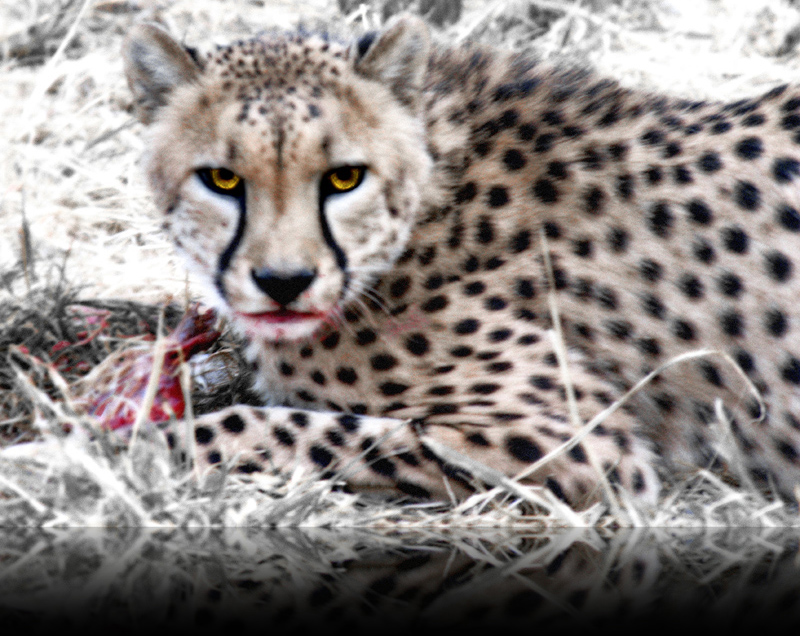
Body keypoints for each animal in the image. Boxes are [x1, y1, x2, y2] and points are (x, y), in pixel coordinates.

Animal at [121, 14, 800, 510]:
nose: (283, 282)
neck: (436, 190)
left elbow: (281, 426)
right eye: (222, 179)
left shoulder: (583, 446)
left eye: (344, 177)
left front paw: (122, 445)